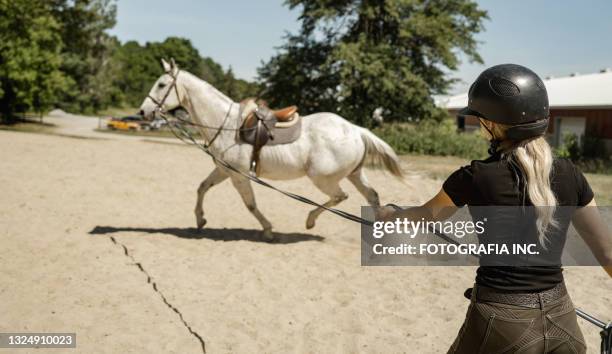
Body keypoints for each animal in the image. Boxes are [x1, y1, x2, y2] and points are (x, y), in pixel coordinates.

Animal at [140, 58, 404, 241]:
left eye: (161, 84)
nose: (143, 112)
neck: (225, 123)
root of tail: (356, 130)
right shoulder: (225, 171)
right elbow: (202, 188)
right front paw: (200, 219)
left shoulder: (238, 176)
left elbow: (250, 205)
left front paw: (268, 230)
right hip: (354, 174)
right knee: (372, 196)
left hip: (323, 178)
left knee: (340, 197)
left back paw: (310, 221)